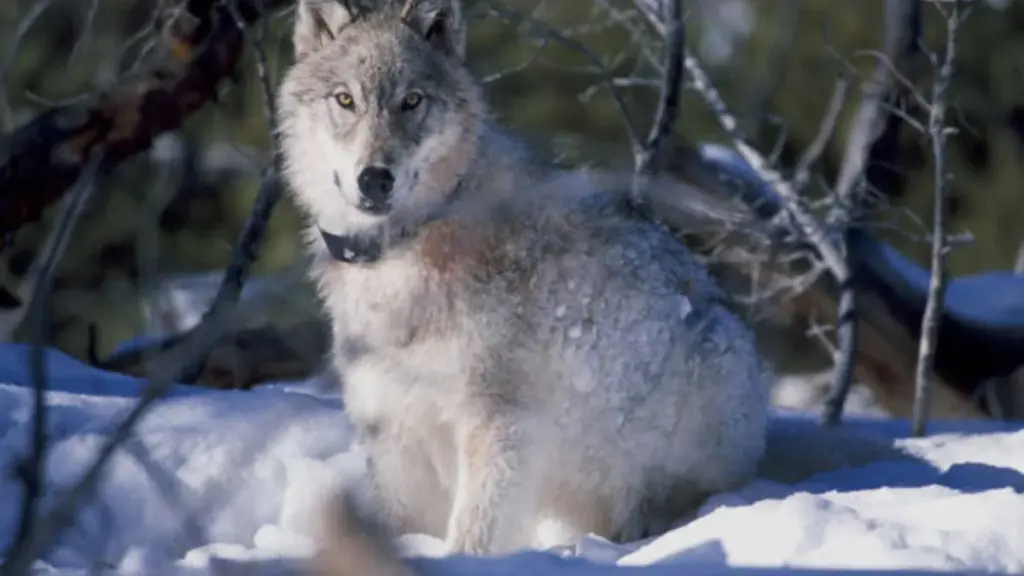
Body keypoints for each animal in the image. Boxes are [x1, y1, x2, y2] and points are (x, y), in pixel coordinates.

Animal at [278, 0, 909, 558]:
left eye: (411, 101)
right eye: (345, 100)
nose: (375, 178)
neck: (407, 247)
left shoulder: (500, 427)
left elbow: (475, 535)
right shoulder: (394, 433)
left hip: (695, 382)